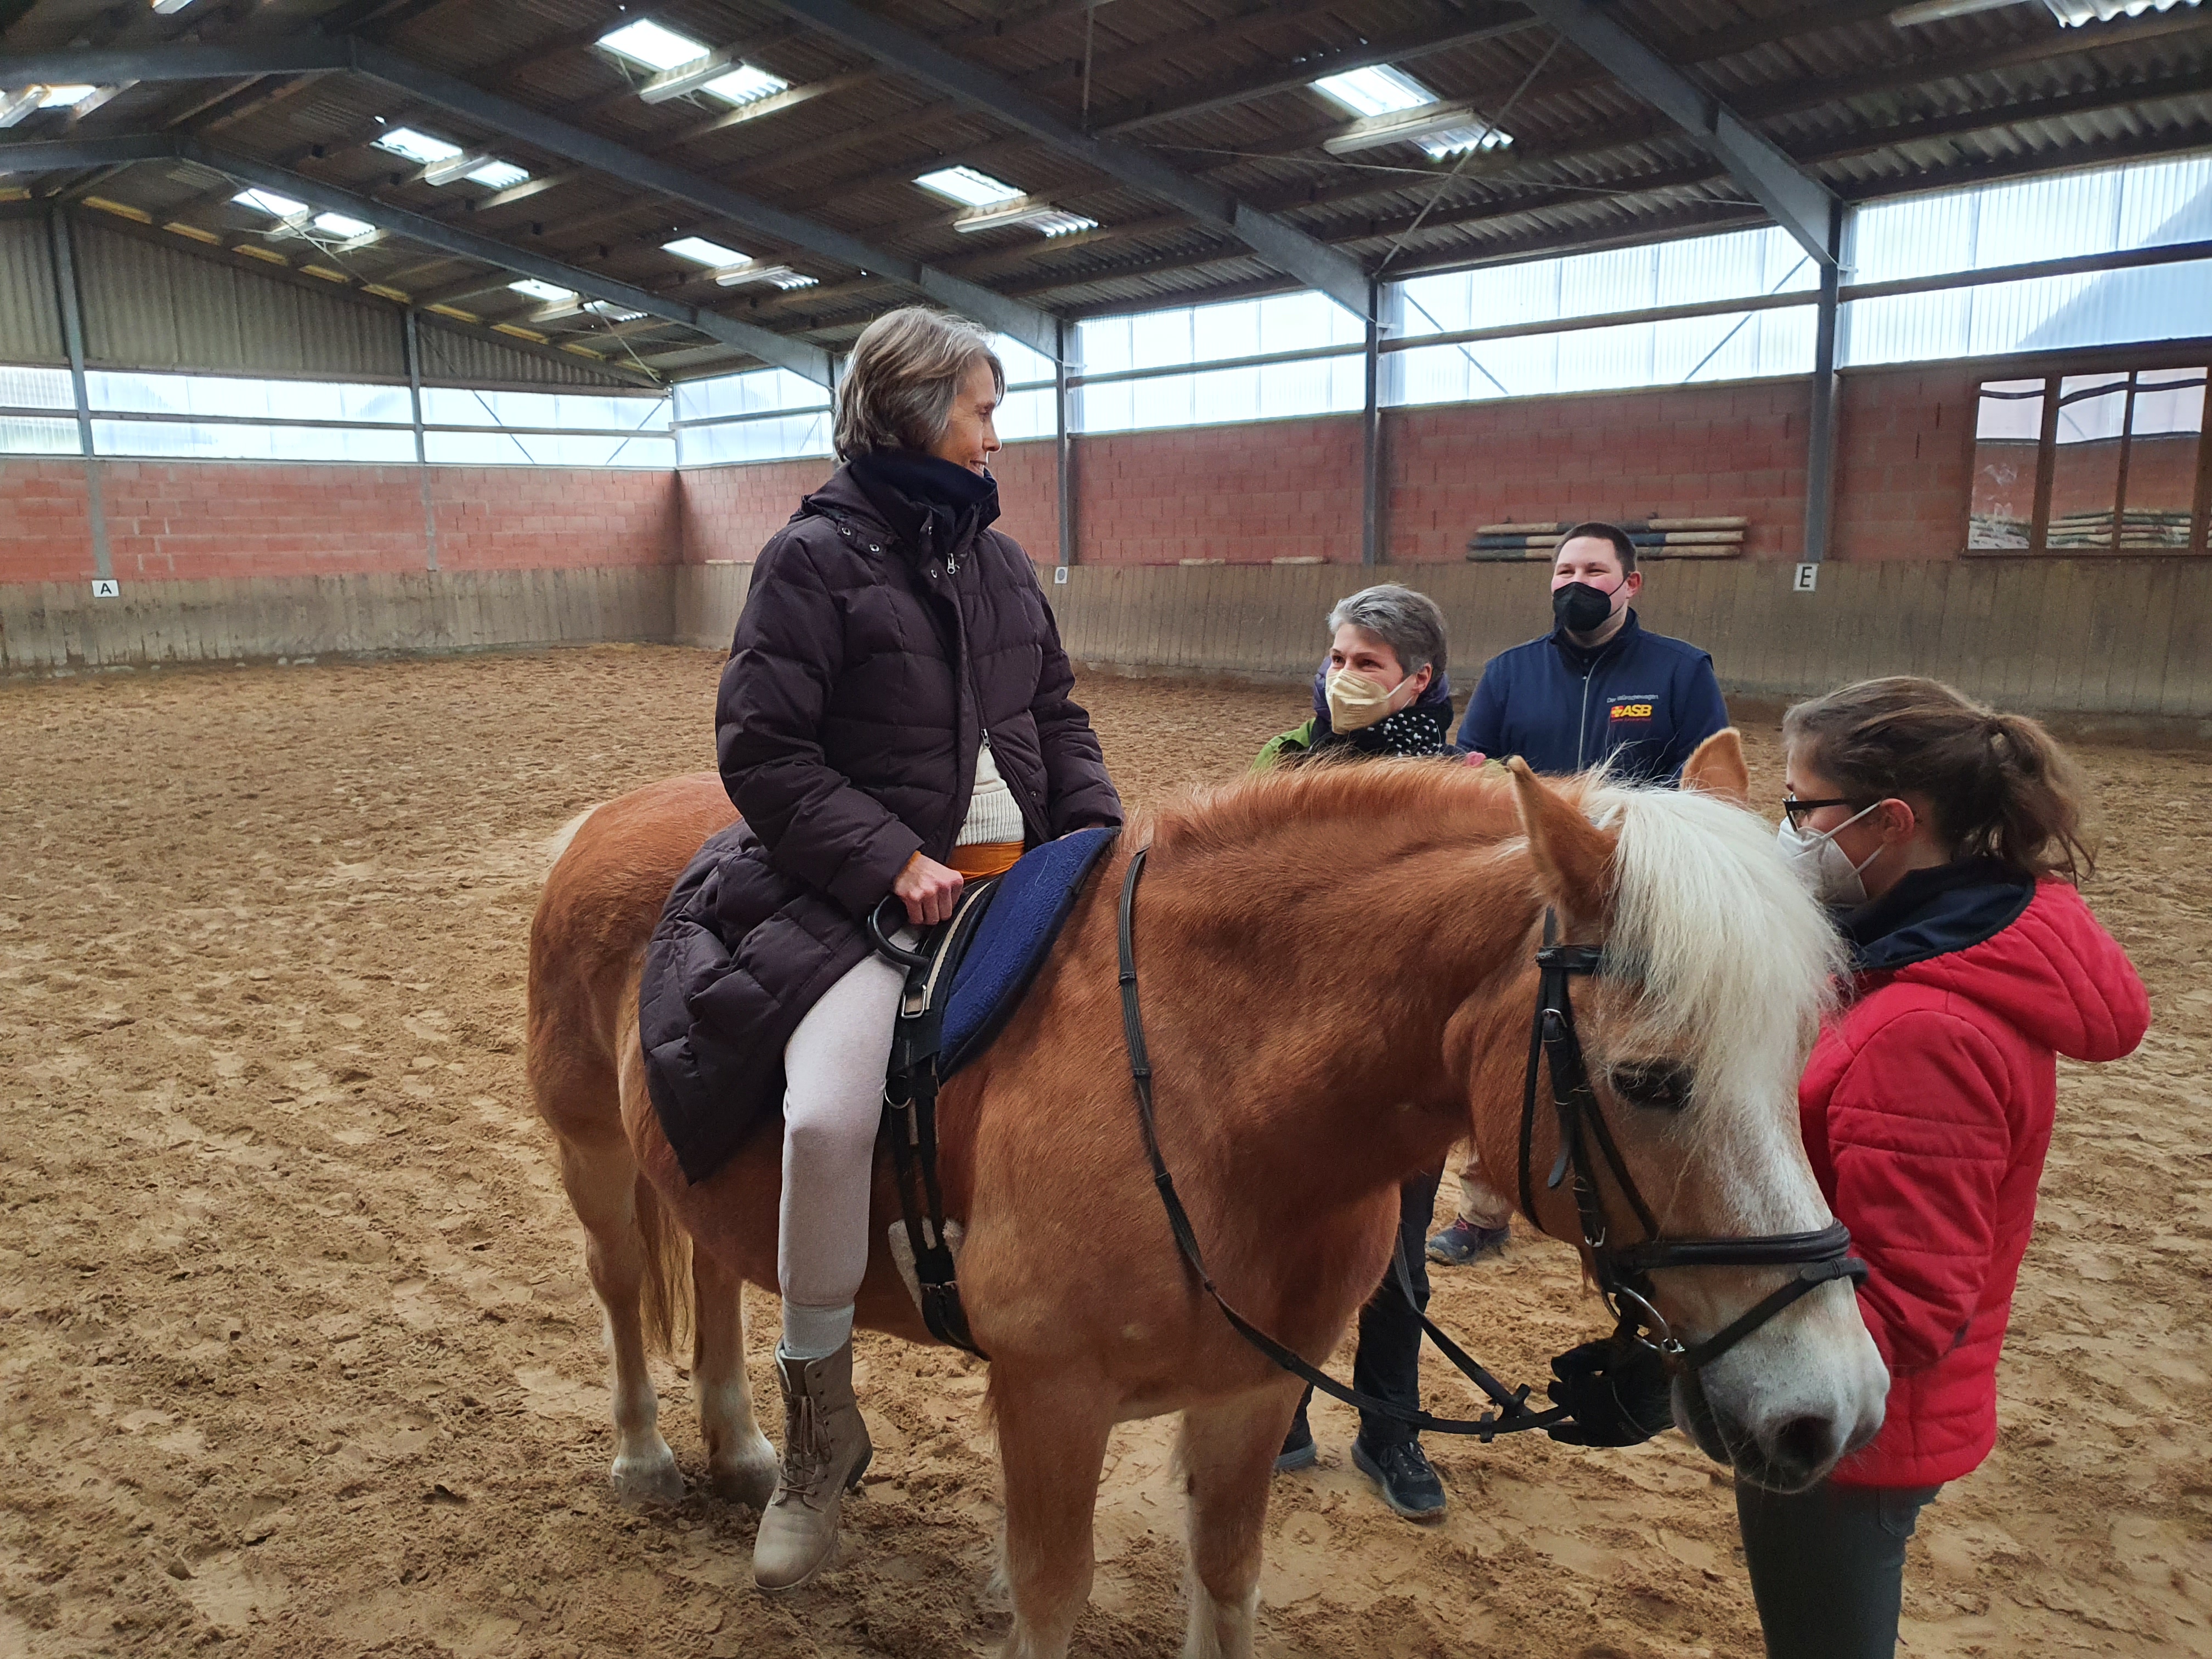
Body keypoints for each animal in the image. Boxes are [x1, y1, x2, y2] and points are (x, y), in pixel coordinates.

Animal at [522, 738, 1884, 1659]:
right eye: (1649, 1079)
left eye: (1798, 1054)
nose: (1838, 1410)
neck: (1204, 1087)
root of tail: (613, 819)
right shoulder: (1052, 1401)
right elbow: (1051, 1599)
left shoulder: (1251, 1396)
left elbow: (1226, 1584)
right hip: (596, 1158)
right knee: (624, 1286)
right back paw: (650, 1460)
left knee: (713, 1277)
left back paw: (748, 1453)